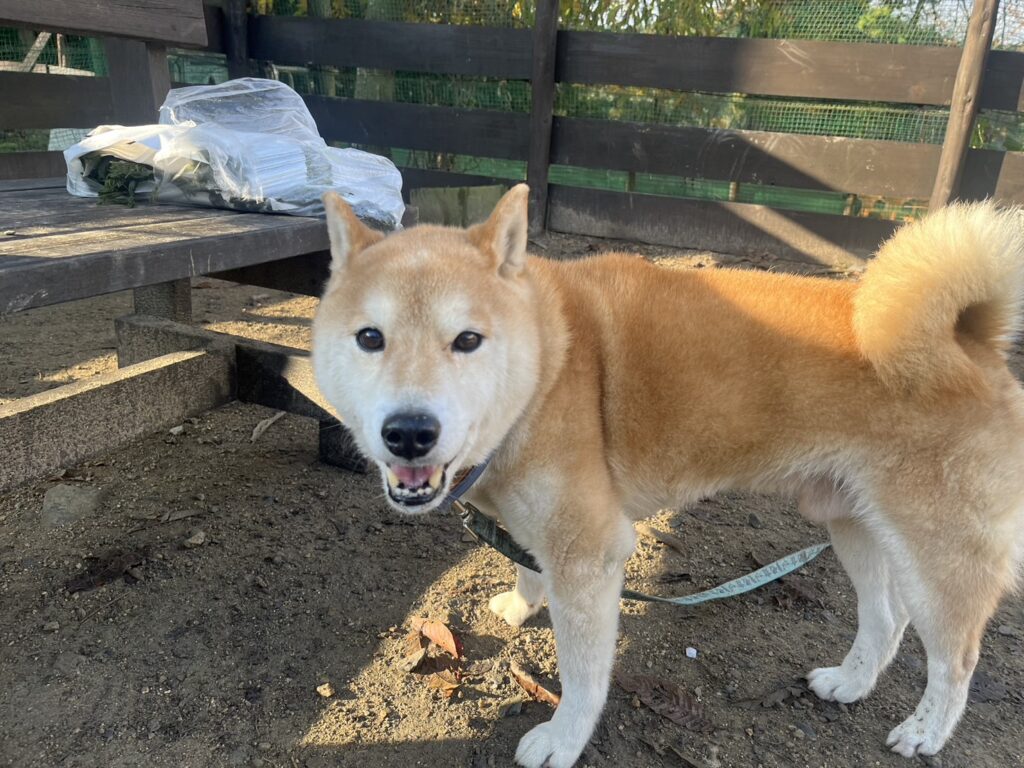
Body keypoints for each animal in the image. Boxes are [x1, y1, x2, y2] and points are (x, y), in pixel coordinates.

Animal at [312, 184, 1024, 766]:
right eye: (370, 338)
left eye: (467, 340)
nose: (409, 431)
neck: (551, 361)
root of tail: (972, 343)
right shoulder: (540, 527)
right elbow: (525, 563)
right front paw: (520, 603)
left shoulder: (589, 552)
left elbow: (584, 672)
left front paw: (565, 739)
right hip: (851, 521)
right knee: (887, 619)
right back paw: (850, 683)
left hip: (938, 556)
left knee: (955, 657)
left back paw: (926, 732)